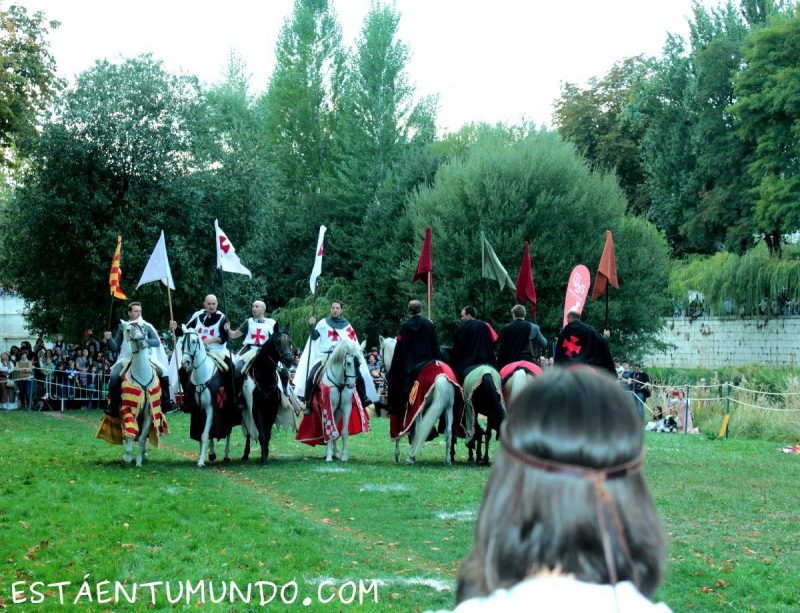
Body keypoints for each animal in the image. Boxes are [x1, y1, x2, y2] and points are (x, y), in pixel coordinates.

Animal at [180, 328, 233, 466]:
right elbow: (201, 434)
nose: (185, 363)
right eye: (182, 341)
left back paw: (226, 455)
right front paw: (202, 456)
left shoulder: (211, 408)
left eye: (194, 341)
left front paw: (201, 462)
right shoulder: (197, 410)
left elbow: (204, 434)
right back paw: (212, 453)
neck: (202, 376)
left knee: (228, 430)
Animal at [382, 334, 456, 464]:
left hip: (419, 406)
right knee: (448, 432)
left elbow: (402, 432)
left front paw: (398, 456)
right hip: (448, 407)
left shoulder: (406, 410)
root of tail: (441, 376)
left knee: (419, 429)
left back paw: (410, 457)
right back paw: (447, 460)